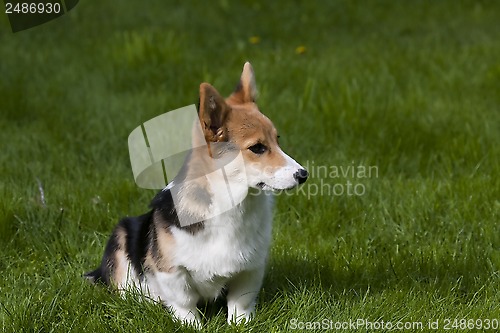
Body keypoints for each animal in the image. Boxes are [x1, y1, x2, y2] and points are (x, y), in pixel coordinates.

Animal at [85, 62, 308, 324]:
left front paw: (239, 324)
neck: (232, 202)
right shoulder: (171, 272)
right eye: (257, 148)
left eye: (277, 140)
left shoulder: (250, 268)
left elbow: (240, 302)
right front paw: (193, 325)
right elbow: (185, 304)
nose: (303, 174)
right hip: (121, 238)